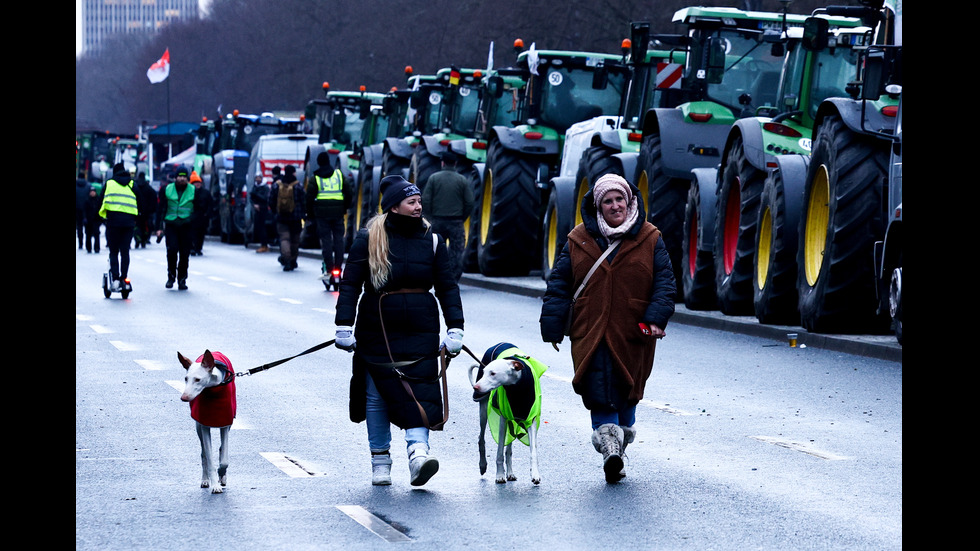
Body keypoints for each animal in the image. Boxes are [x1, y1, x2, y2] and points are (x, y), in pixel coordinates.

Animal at [178, 352, 237, 494]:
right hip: (198, 427)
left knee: (221, 449)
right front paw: (215, 484)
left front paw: (221, 473)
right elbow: (209, 459)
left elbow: (224, 460)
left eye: (197, 379)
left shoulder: (225, 424)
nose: (184, 398)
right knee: (203, 454)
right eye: (186, 378)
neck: (214, 389)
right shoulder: (204, 425)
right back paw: (205, 480)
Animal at [466, 342, 544, 486]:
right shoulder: (503, 420)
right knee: (481, 438)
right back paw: (483, 465)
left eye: (493, 373)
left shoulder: (531, 421)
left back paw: (510, 473)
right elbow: (499, 453)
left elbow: (533, 452)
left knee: (509, 449)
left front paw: (535, 474)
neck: (517, 387)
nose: (476, 387)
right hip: (484, 411)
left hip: (512, 422)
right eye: (484, 372)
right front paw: (500, 475)